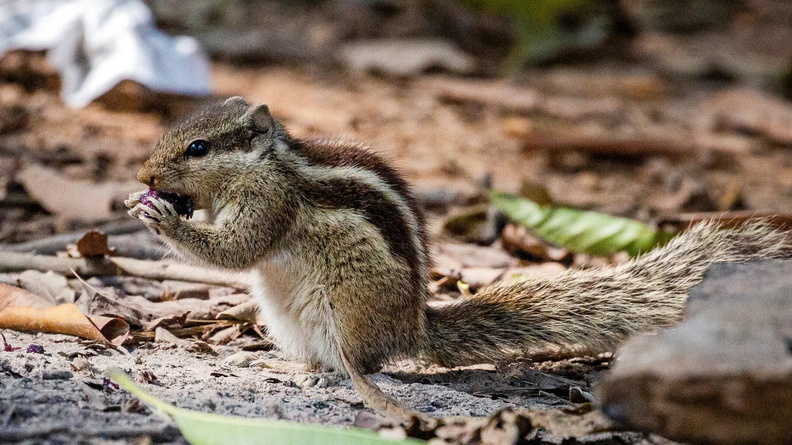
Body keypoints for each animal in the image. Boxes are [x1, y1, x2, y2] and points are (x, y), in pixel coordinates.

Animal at [126, 96, 792, 395]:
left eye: (198, 148)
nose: (142, 175)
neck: (264, 163)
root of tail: (413, 328)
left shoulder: (270, 202)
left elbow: (239, 249)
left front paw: (163, 218)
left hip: (340, 308)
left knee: (356, 365)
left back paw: (308, 375)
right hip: (286, 313)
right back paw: (268, 361)